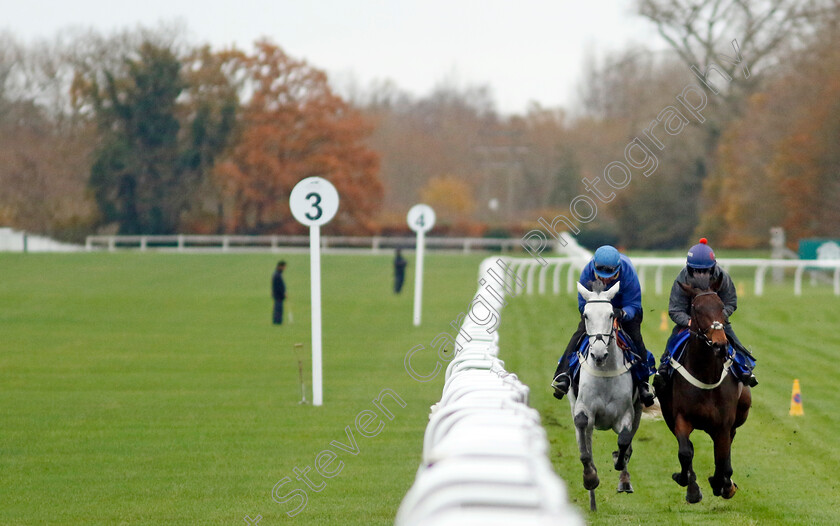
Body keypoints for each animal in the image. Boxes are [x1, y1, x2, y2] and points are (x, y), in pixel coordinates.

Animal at [568, 282, 640, 512]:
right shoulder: (583, 409)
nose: (598, 354)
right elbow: (585, 451)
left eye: (611, 314)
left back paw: (624, 480)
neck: (604, 371)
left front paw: (619, 461)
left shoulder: (626, 414)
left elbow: (624, 441)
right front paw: (590, 477)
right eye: (586, 315)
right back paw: (592, 502)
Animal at [660, 278, 752, 506]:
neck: (706, 375)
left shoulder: (723, 424)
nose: (720, 344)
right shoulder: (681, 418)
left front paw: (723, 484)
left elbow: (722, 458)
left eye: (720, 307)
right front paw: (689, 485)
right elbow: (686, 452)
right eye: (697, 308)